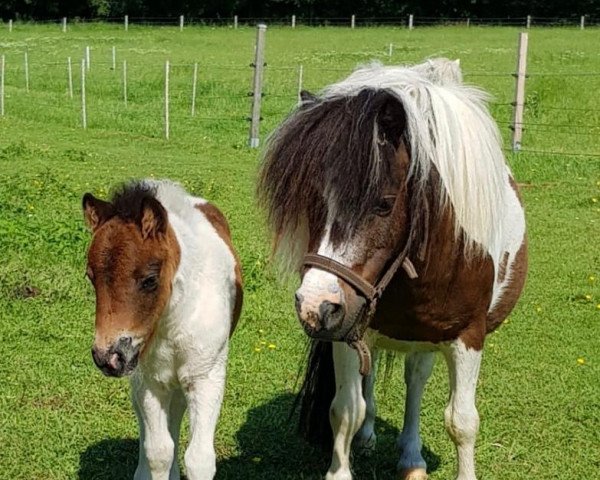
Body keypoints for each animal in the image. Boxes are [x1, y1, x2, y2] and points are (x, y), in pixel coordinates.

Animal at [82, 179, 241, 480]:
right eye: (90, 277)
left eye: (149, 280)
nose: (107, 357)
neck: (174, 318)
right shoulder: (150, 379)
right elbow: (158, 452)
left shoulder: (206, 377)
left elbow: (200, 459)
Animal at [258, 61, 524, 480]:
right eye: (313, 202)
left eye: (383, 204)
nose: (315, 307)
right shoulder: (349, 328)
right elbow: (346, 410)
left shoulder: (468, 336)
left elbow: (462, 422)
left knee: (416, 379)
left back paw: (412, 458)